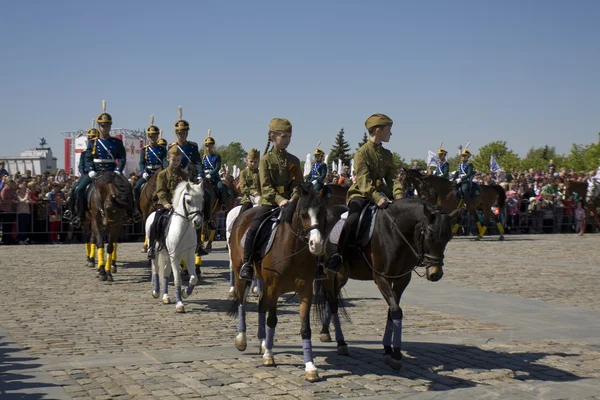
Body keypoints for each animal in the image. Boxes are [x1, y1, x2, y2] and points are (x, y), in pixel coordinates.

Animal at [144, 180, 205, 312]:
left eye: (202, 200)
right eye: (188, 201)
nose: (197, 222)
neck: (183, 228)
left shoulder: (189, 257)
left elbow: (194, 278)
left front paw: (185, 293)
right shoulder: (175, 257)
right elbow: (177, 279)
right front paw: (180, 304)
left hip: (167, 255)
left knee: (166, 272)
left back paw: (165, 297)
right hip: (156, 253)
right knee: (156, 269)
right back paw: (156, 292)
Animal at [229, 183, 328, 382]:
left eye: (322, 213)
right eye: (303, 214)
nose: (317, 244)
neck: (293, 251)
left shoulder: (306, 291)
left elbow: (305, 329)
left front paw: (310, 367)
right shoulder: (274, 289)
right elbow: (272, 319)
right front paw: (269, 356)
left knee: (260, 305)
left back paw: (263, 342)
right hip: (240, 274)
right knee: (242, 302)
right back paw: (242, 339)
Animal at [314, 199, 460, 368]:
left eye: (448, 238)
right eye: (429, 236)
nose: (436, 273)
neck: (397, 232)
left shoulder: (402, 279)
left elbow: (392, 311)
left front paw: (387, 348)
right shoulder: (381, 278)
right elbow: (396, 310)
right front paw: (395, 354)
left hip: (342, 275)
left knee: (331, 298)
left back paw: (326, 331)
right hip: (330, 272)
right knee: (332, 302)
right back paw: (341, 342)